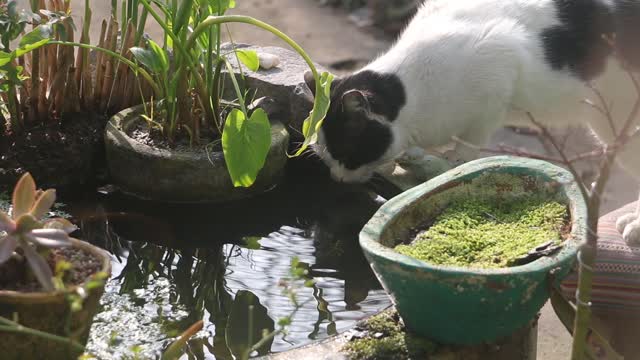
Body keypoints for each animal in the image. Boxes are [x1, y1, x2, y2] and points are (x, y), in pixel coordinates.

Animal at [304, 0, 640, 245]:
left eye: (347, 155)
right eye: (325, 157)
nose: (337, 178)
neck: (414, 91)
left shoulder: (496, 80)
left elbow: (463, 155)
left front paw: (445, 165)